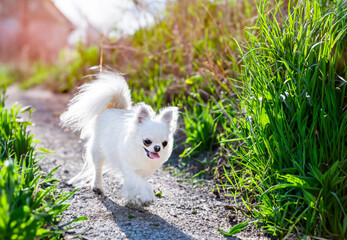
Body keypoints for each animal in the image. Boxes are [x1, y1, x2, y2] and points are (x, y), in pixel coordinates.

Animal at [60, 72, 179, 205]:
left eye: (165, 143)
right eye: (147, 141)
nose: (157, 148)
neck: (141, 154)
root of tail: (114, 107)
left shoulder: (141, 172)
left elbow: (135, 184)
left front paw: (131, 198)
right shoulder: (130, 169)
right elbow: (142, 183)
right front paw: (147, 196)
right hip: (98, 150)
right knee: (98, 168)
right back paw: (97, 187)